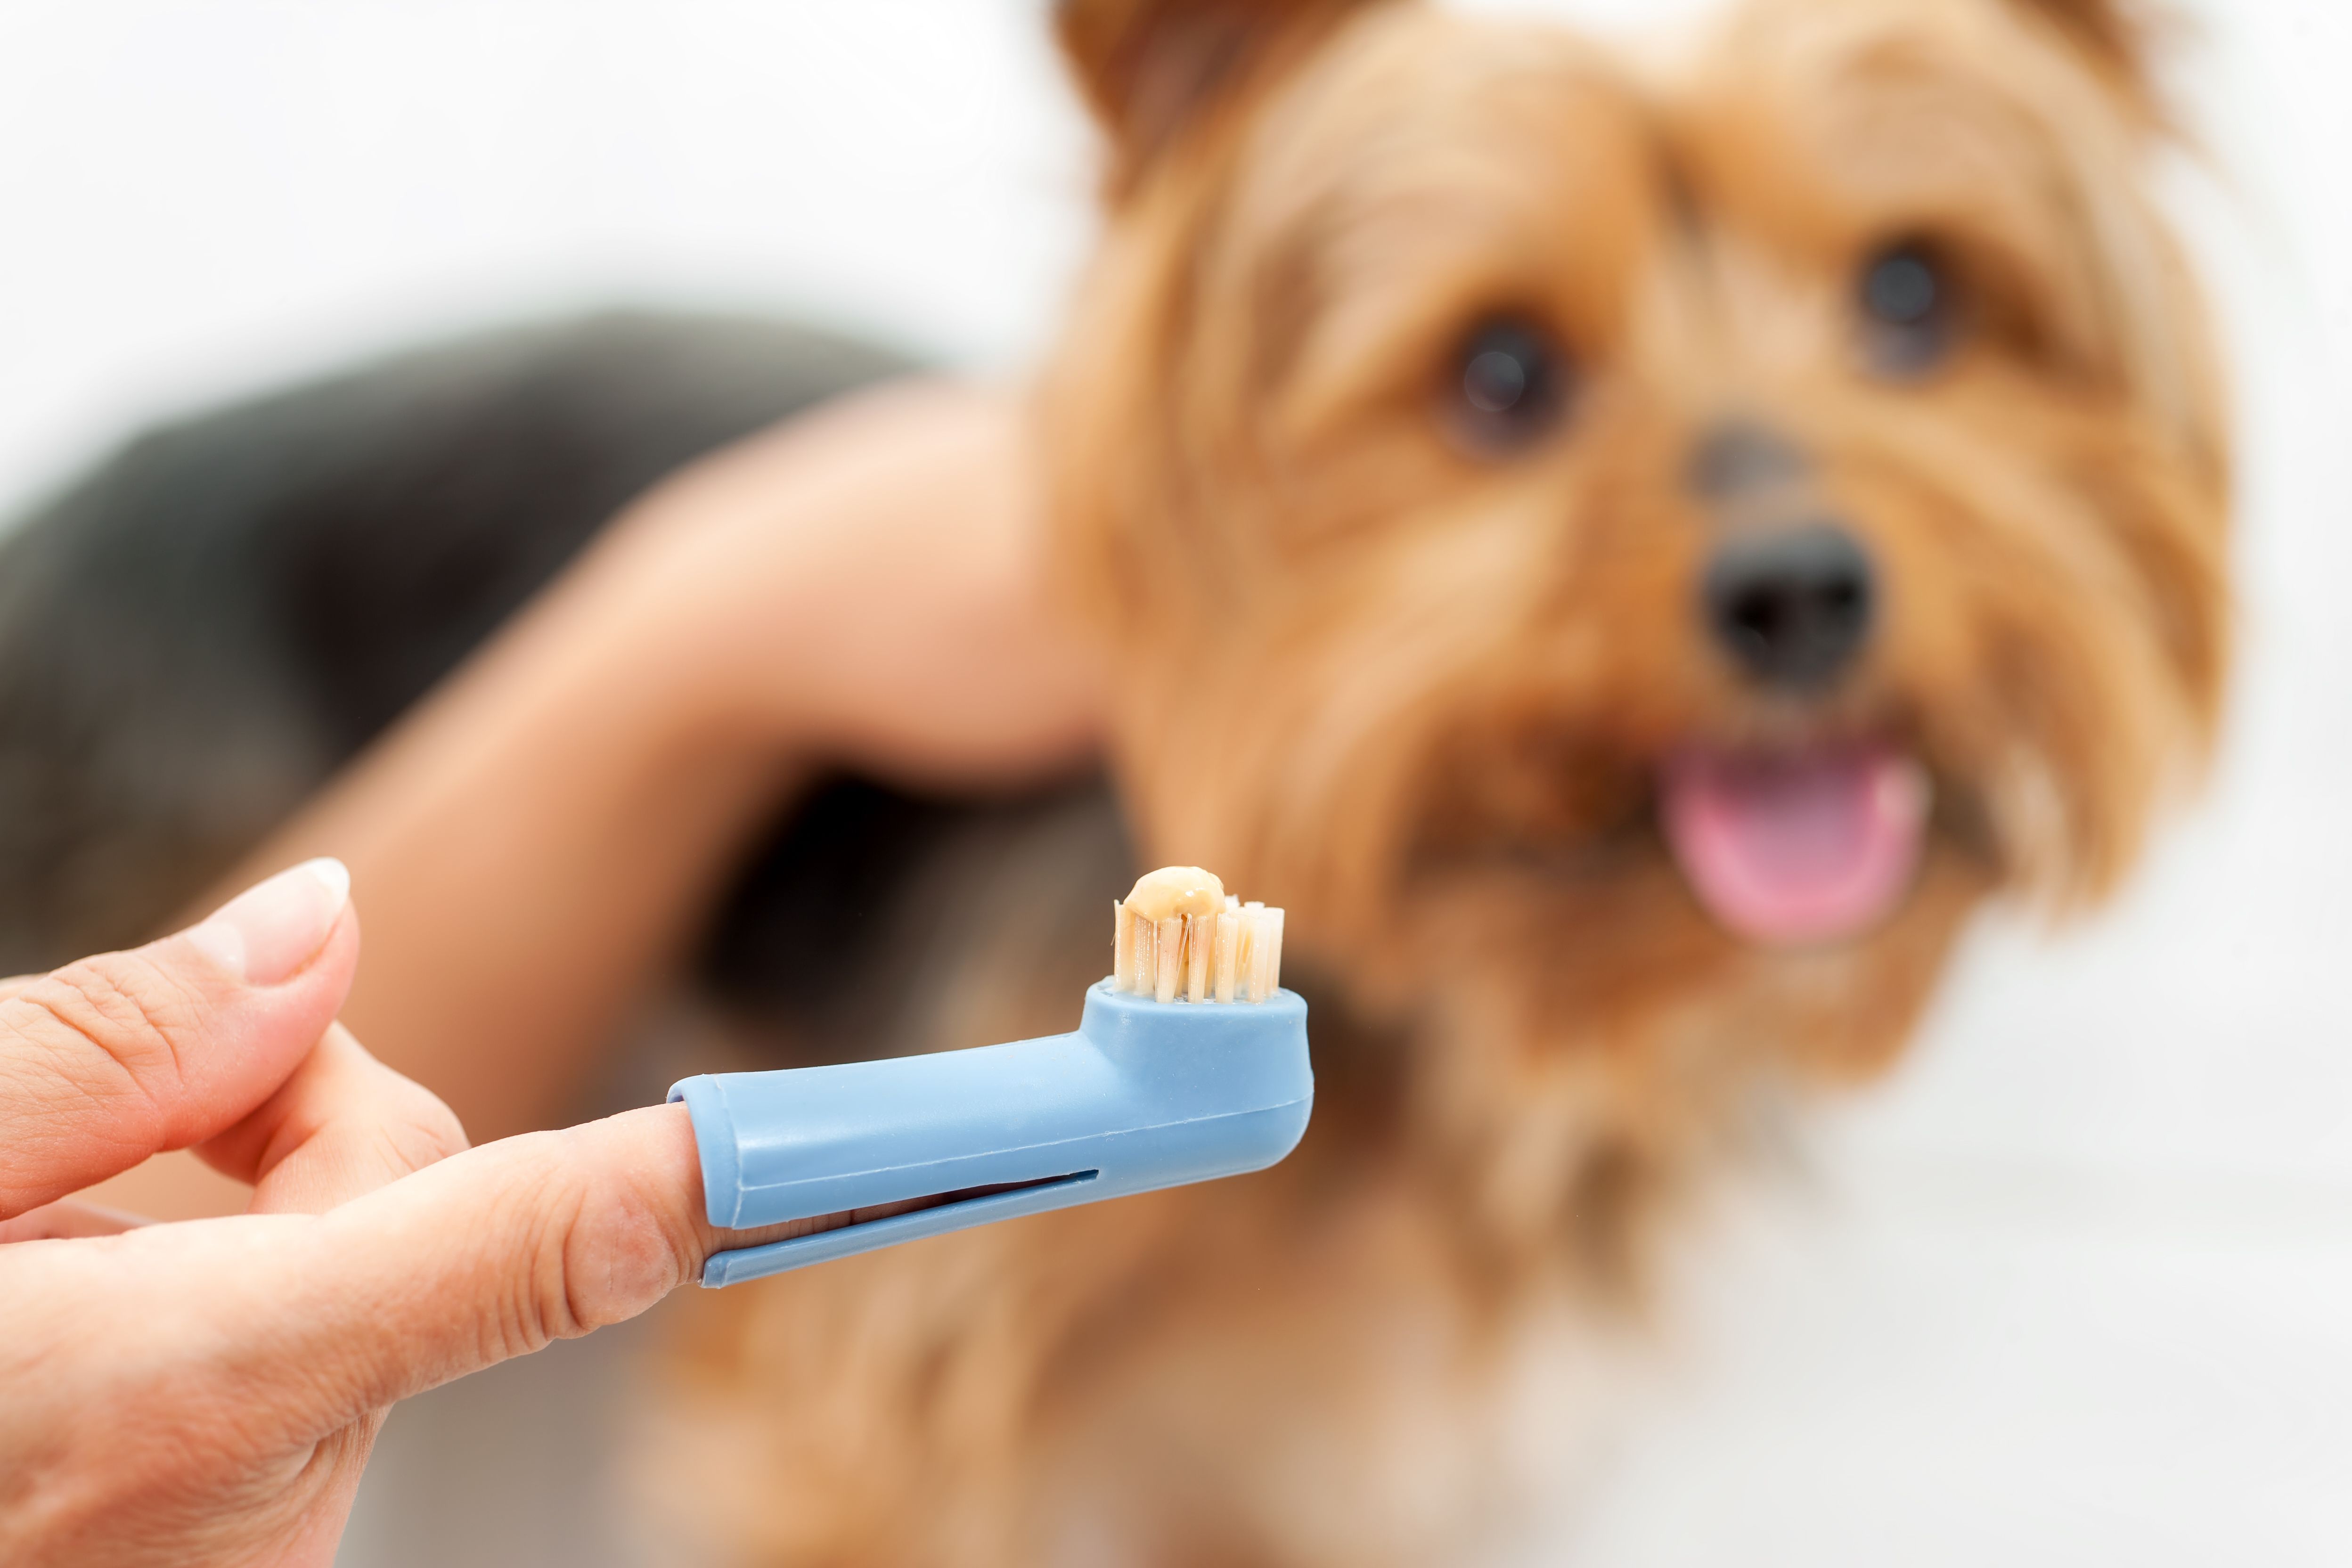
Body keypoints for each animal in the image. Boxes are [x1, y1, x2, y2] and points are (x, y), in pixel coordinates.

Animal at [0, 0, 2220, 1561]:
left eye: (1914, 299)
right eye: (1499, 376)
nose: (1798, 588)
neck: (1451, 1026)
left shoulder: (1299, 1468)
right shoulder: (861, 1418)